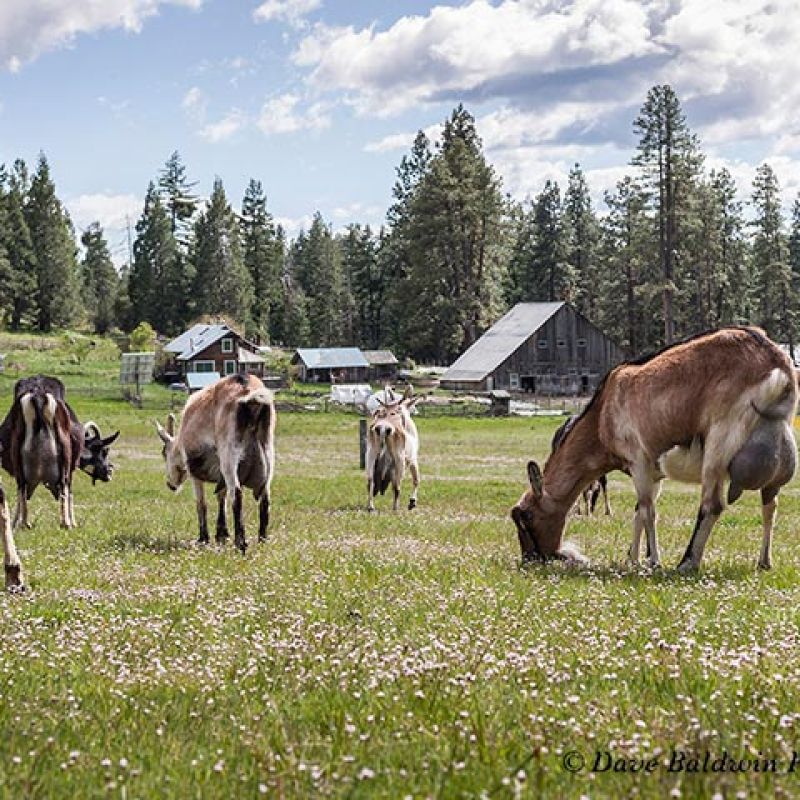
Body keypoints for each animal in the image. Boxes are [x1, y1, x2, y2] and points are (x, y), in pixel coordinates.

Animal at [0, 376, 119, 531]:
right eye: (104, 451)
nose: (109, 472)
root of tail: (39, 394)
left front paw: (14, 523)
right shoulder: (71, 467)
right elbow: (70, 490)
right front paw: (73, 522)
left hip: (17, 454)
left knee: (22, 486)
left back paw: (24, 522)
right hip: (64, 455)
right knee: (63, 485)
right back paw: (66, 523)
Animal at [156, 374, 276, 553]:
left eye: (164, 453)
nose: (170, 485)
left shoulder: (195, 472)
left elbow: (201, 503)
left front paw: (203, 538)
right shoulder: (220, 475)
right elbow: (221, 497)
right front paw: (221, 534)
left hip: (229, 454)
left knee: (237, 493)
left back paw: (241, 543)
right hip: (267, 452)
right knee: (265, 497)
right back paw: (262, 540)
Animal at [511, 327, 797, 572]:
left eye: (526, 516)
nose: (530, 558)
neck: (602, 414)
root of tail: (773, 358)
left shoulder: (639, 459)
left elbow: (648, 511)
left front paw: (654, 561)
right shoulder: (654, 473)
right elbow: (639, 512)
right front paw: (634, 557)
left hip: (720, 438)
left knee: (712, 504)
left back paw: (687, 562)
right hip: (779, 450)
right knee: (770, 503)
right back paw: (764, 561)